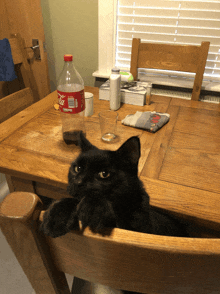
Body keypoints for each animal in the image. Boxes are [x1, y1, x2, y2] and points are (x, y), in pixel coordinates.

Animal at [40, 132, 188, 238]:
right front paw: (57, 216)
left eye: (104, 174)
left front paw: (94, 208)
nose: (78, 182)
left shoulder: (136, 230)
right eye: (77, 168)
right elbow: (71, 200)